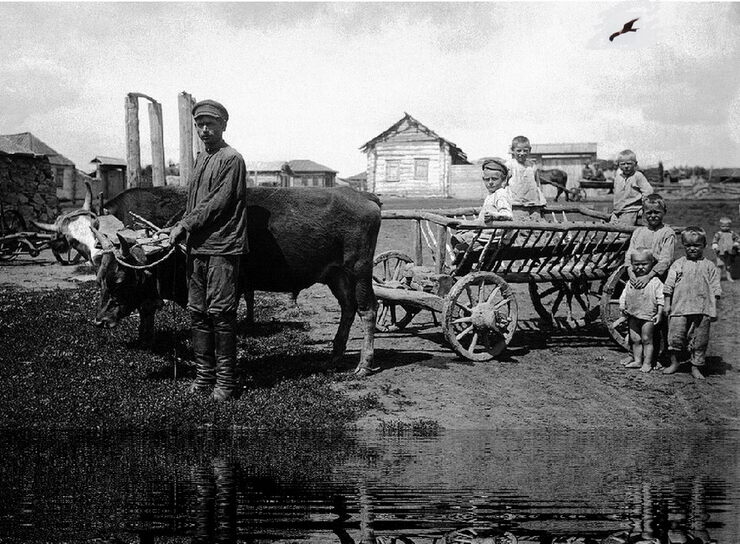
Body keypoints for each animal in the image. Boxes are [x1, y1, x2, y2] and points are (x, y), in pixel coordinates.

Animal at [88, 185, 382, 376]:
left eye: (120, 278)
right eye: (101, 276)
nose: (100, 320)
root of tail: (365, 197)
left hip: (359, 271)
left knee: (368, 309)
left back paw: (364, 364)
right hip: (336, 275)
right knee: (348, 308)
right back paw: (335, 355)